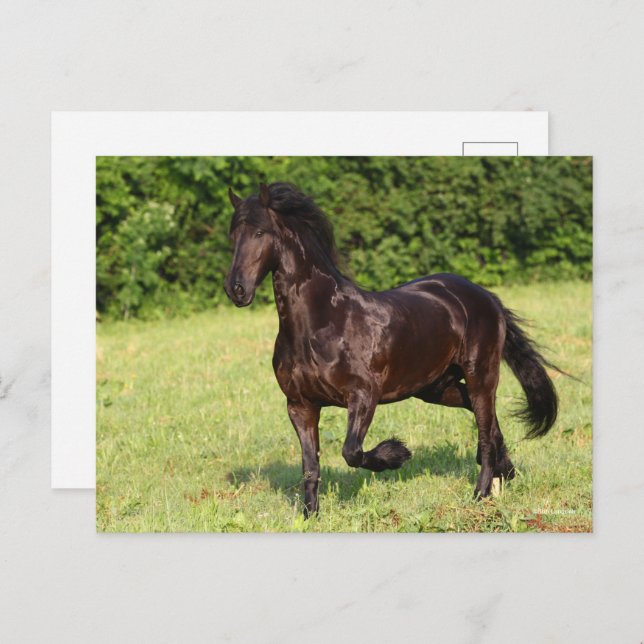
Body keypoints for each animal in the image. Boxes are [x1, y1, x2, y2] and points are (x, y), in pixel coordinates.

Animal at [224, 182, 559, 518]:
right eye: (233, 235)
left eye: (260, 232)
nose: (236, 290)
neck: (321, 324)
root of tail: (485, 296)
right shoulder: (300, 405)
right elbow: (310, 467)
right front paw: (310, 515)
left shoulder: (363, 396)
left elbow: (351, 452)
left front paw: (397, 454)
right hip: (436, 387)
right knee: (485, 420)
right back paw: (505, 473)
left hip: (481, 375)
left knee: (485, 427)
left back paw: (480, 493)